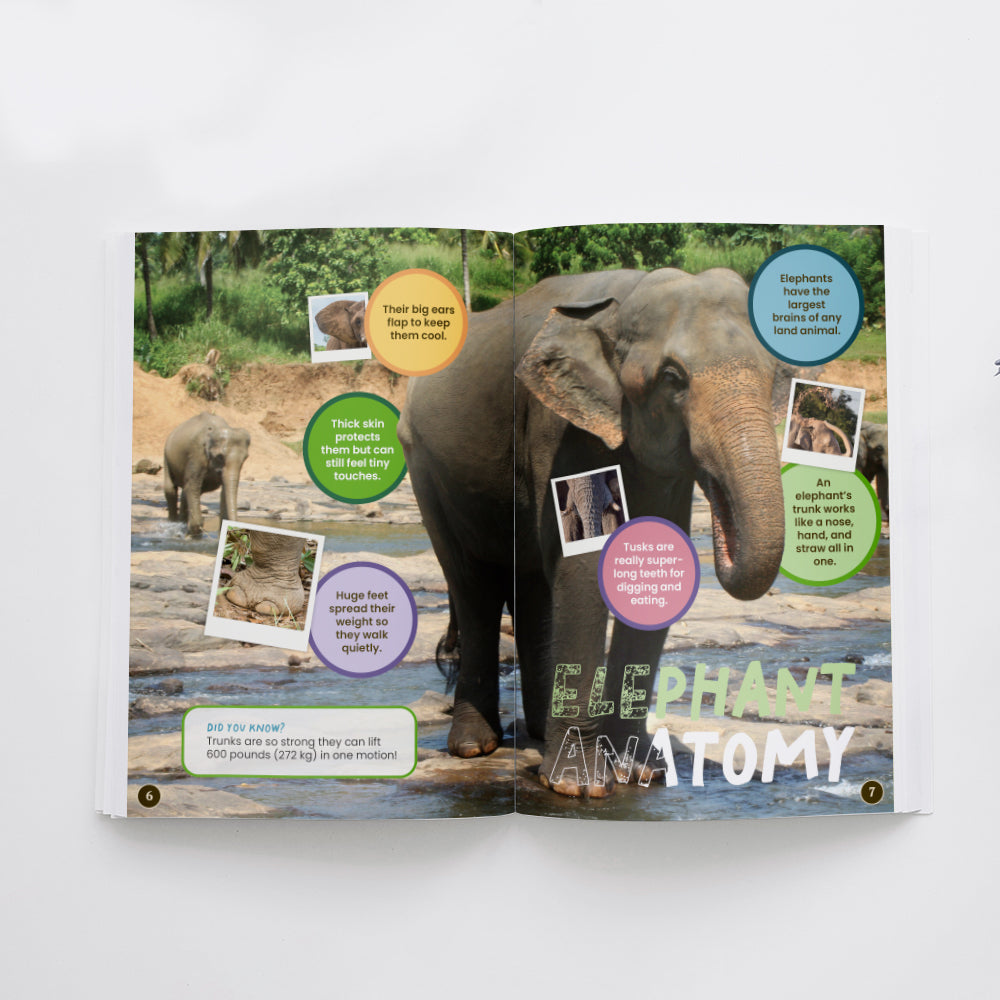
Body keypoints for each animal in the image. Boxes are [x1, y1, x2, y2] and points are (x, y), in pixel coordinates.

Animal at [398, 267, 785, 797]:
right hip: (426, 471)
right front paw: (578, 786)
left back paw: (538, 733)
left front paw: (642, 771)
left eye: (775, 376)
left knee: (532, 586)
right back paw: (476, 747)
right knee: (474, 585)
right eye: (672, 378)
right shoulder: (561, 426)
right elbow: (581, 566)